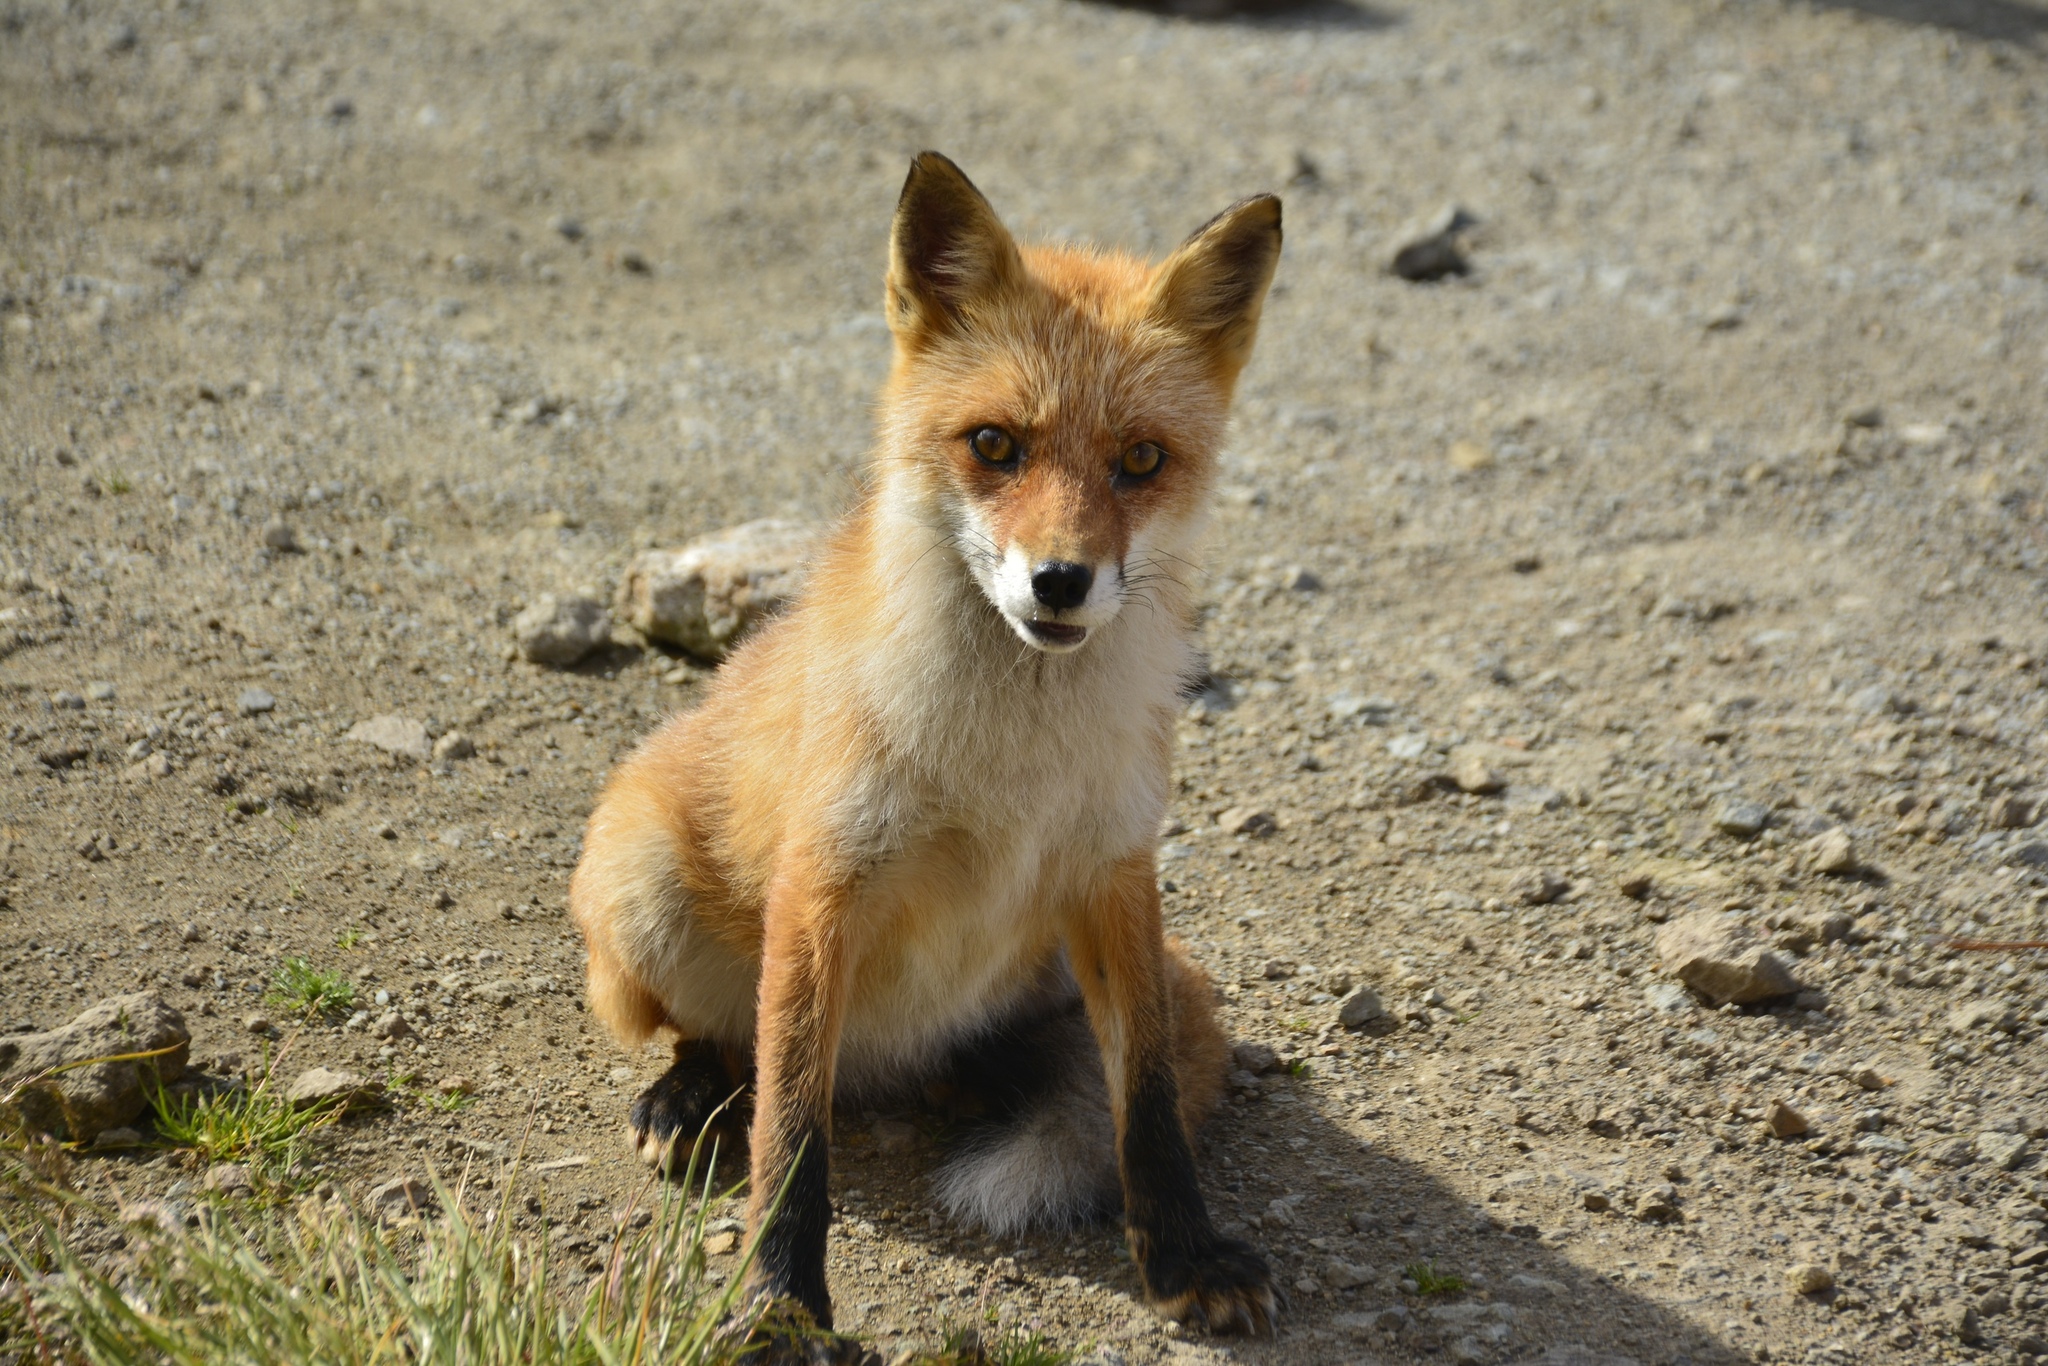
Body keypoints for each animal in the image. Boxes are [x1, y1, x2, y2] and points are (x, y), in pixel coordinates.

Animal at [569, 152, 1277, 1335]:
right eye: (994, 444)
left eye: (1141, 460)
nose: (1059, 581)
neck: (1011, 768)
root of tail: (886, 1066)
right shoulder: (822, 885)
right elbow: (791, 1130)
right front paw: (779, 1303)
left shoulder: (1114, 871)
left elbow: (1144, 1102)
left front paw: (1184, 1253)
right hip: (637, 891)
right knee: (732, 1042)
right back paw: (690, 1093)